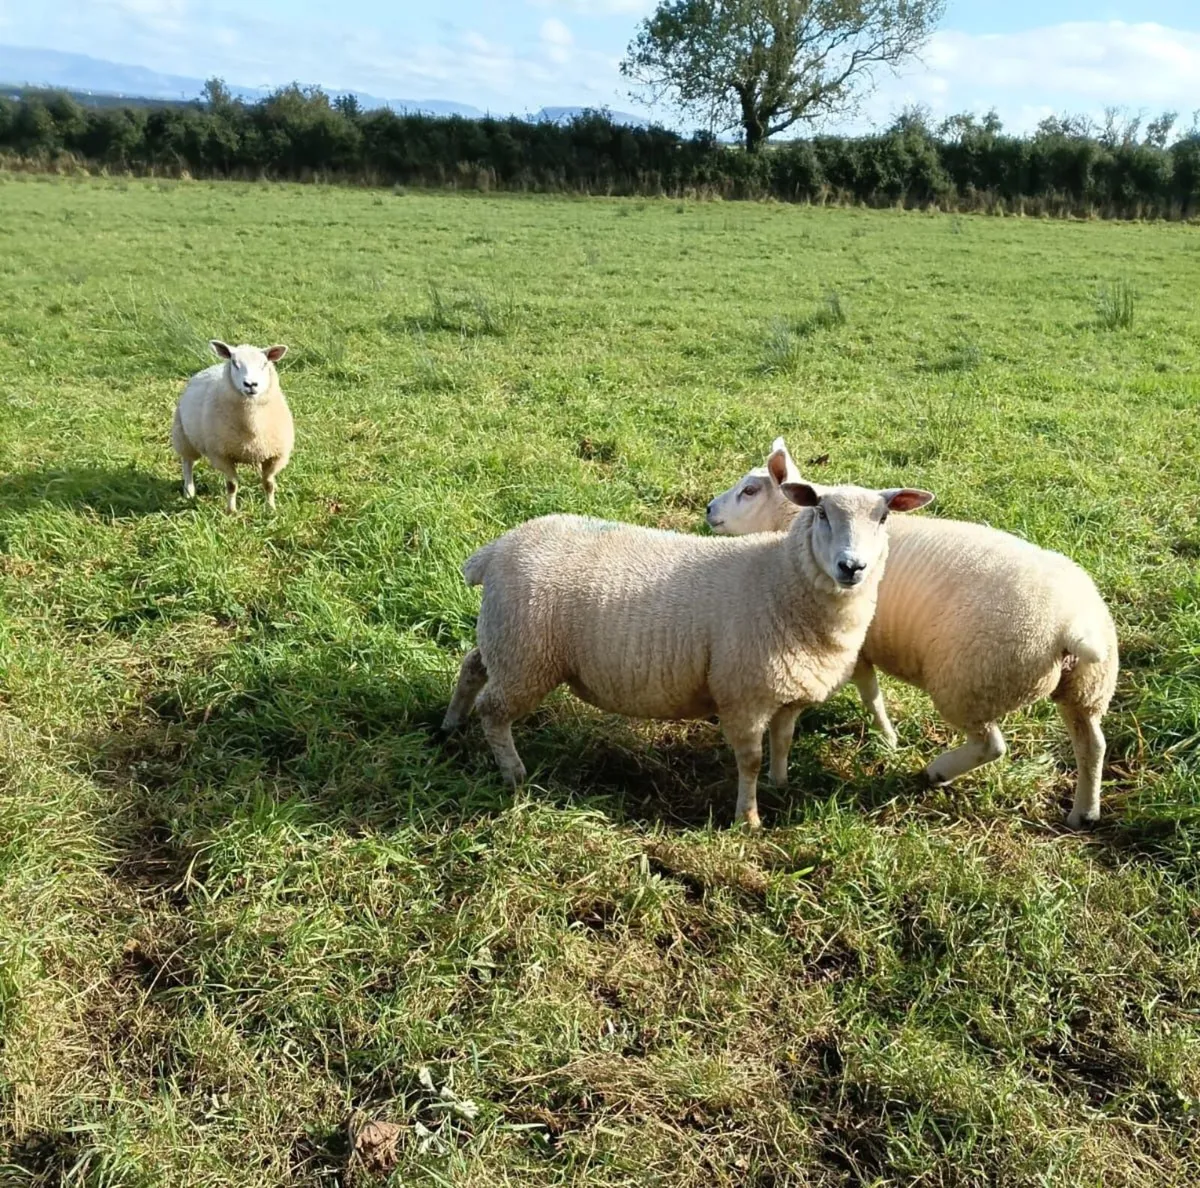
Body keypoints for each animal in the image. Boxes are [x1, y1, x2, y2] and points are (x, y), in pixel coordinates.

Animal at [171, 340, 293, 512]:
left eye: (264, 364)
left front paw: (271, 509)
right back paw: (189, 492)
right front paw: (231, 511)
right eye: (235, 363)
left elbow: (268, 484)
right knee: (187, 463)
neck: (252, 426)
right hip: (183, 436)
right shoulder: (222, 455)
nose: (251, 384)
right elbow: (231, 485)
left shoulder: (275, 456)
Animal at [442, 479, 934, 828]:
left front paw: (781, 785)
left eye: (884, 517)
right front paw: (748, 820)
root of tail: (495, 549)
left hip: (505, 638)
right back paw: (513, 773)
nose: (852, 567)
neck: (780, 575)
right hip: (524, 654)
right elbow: (750, 759)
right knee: (494, 711)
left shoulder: (786, 690)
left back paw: (450, 724)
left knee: (472, 667)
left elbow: (783, 742)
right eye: (821, 512)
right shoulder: (744, 694)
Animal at [706, 438, 1119, 828]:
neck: (792, 525)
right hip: (1087, 687)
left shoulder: (858, 648)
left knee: (991, 745)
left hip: (973, 682)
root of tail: (1072, 625)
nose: (709, 509)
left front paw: (887, 737)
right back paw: (1085, 812)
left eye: (749, 490)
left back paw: (937, 772)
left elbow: (871, 694)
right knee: (1092, 743)